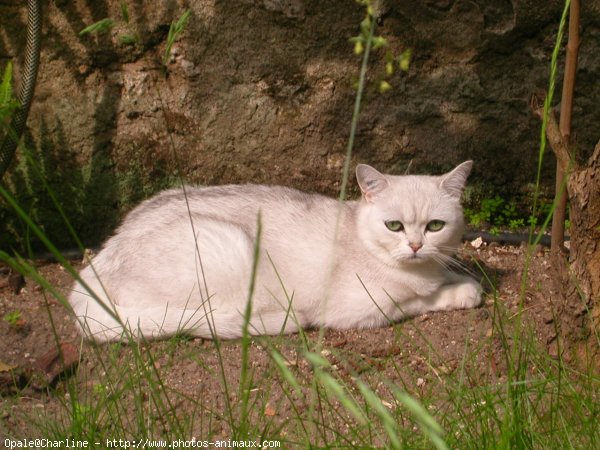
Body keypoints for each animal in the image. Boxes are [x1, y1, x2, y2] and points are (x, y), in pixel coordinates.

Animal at [69, 162, 482, 342]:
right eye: (394, 226)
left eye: (435, 226)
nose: (415, 245)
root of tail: (94, 267)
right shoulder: (362, 309)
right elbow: (419, 301)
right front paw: (461, 292)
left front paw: (457, 275)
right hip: (233, 253)